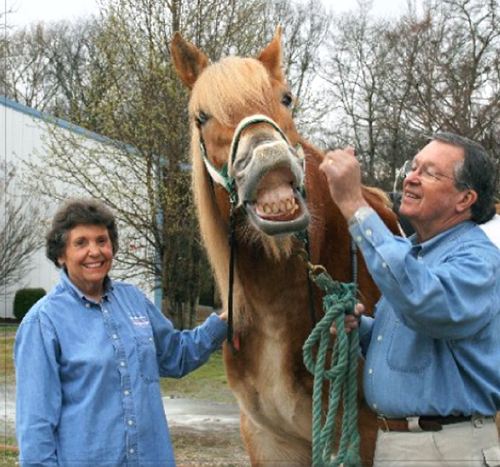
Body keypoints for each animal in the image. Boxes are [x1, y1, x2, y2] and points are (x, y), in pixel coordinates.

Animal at [170, 26, 400, 467]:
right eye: (200, 117)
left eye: (287, 98)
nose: (270, 160)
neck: (276, 307)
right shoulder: (267, 437)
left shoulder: (361, 437)